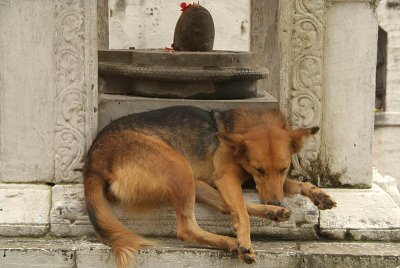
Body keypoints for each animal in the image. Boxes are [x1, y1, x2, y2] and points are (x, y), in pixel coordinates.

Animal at [84, 105, 338, 266]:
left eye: (284, 168)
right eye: (259, 170)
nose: (275, 200)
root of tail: (93, 161)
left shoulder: (259, 180)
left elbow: (291, 185)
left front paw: (317, 194)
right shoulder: (227, 177)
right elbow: (242, 214)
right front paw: (245, 242)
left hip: (193, 180)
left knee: (227, 207)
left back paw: (273, 212)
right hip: (180, 169)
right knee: (188, 228)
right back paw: (233, 240)